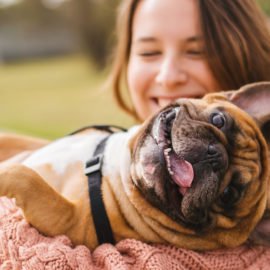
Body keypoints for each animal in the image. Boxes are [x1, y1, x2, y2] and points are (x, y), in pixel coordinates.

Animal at [0, 82, 270, 251]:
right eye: (218, 120)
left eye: (228, 194)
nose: (214, 154)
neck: (121, 169)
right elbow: (10, 142)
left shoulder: (70, 221)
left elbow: (26, 178)